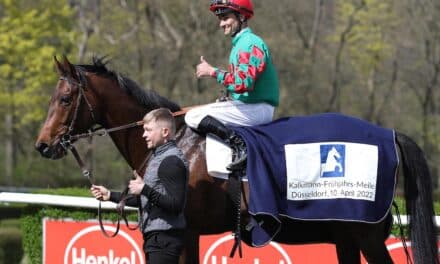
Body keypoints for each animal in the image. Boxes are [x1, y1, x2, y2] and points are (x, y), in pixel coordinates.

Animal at [35, 56, 440, 264]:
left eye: (66, 99)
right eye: (53, 97)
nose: (43, 145)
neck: (178, 141)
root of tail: (388, 134)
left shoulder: (187, 234)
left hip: (366, 237)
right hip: (346, 238)